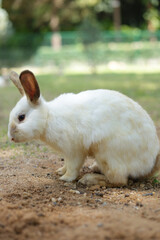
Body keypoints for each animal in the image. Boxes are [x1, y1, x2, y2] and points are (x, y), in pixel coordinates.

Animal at [7, 69, 160, 186]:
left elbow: (73, 167)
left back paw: (89, 179)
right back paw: (94, 168)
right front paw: (60, 171)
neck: (48, 117)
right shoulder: (67, 153)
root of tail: (150, 163)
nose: (11, 138)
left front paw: (65, 178)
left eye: (21, 117)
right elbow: (66, 164)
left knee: (119, 180)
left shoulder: (74, 150)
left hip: (107, 154)